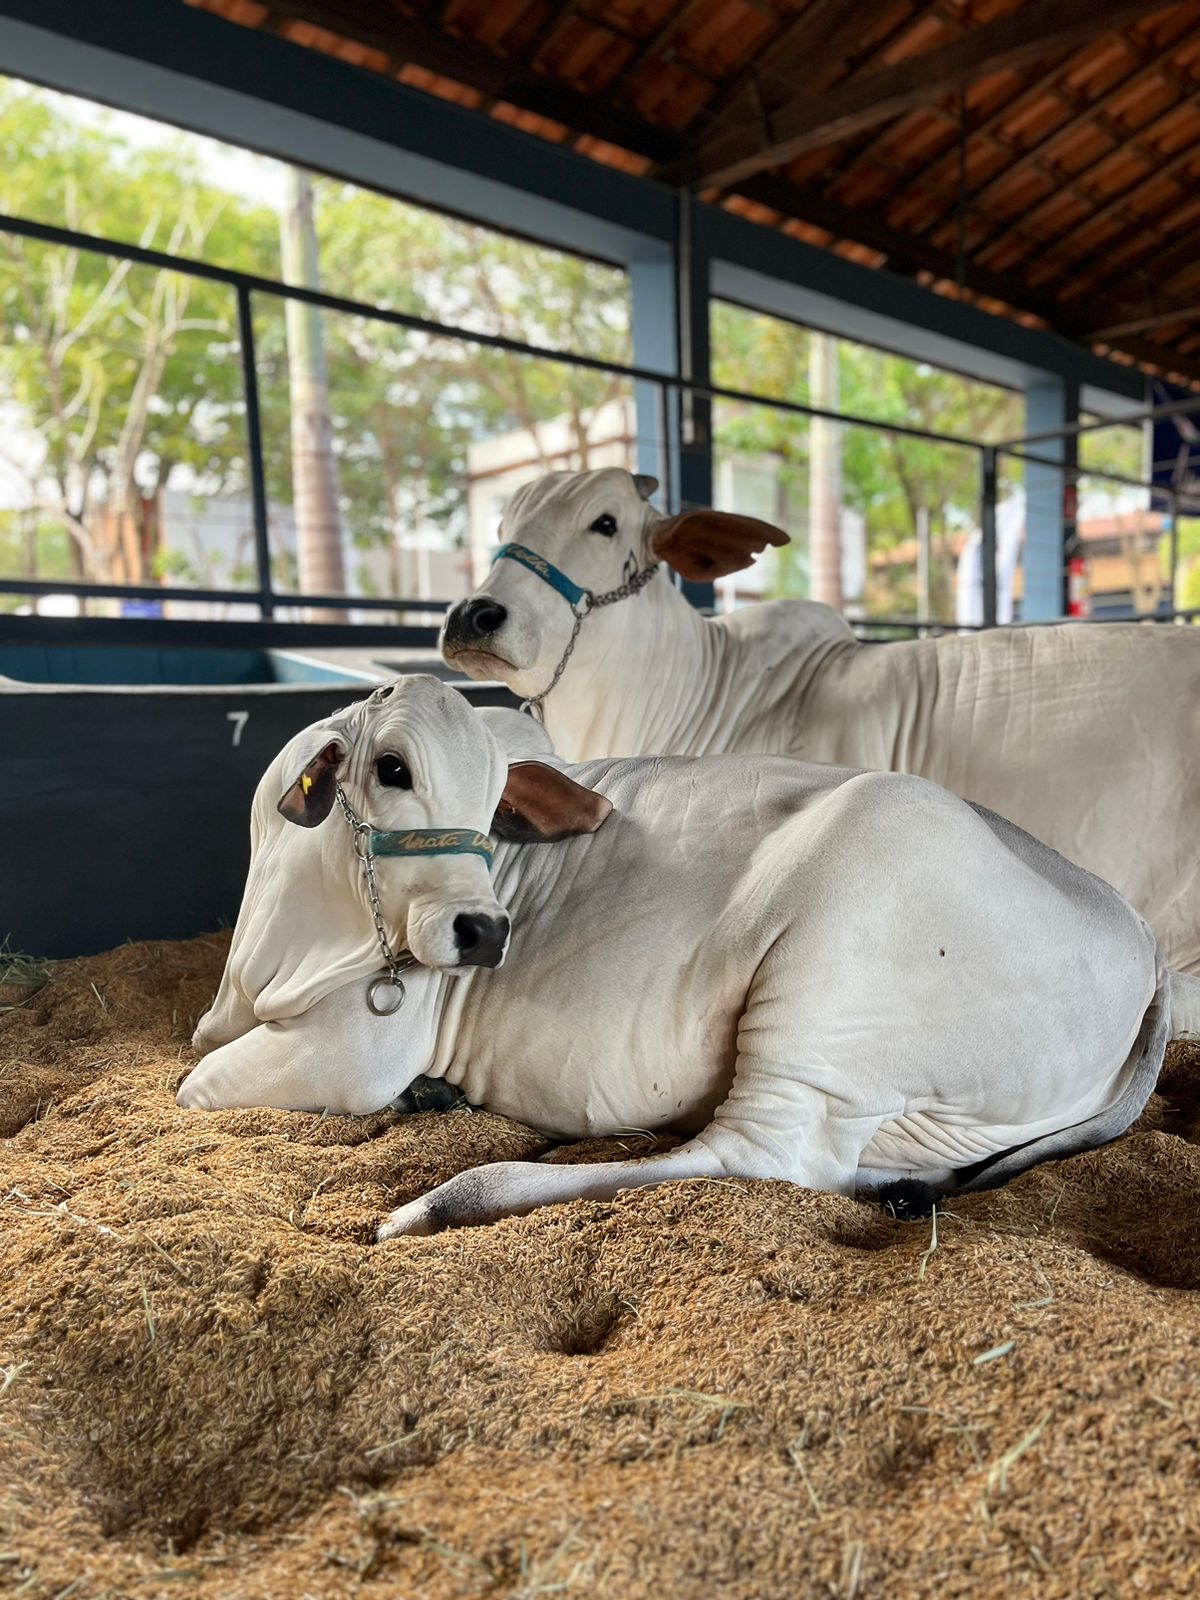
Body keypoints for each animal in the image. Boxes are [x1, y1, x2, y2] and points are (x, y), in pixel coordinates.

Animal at [180, 675, 1200, 1235]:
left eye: (498, 800)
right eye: (391, 769)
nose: (487, 932)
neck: (280, 937)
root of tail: (1143, 940)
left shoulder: (353, 1052)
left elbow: (193, 1089)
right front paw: (431, 1095)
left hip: (827, 989)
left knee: (759, 1157)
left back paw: (439, 1202)